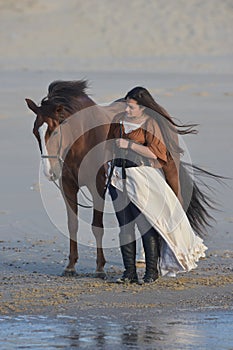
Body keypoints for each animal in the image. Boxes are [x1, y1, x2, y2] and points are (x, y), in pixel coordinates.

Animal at [25, 80, 124, 276]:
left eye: (55, 132)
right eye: (34, 132)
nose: (49, 171)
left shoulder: (98, 186)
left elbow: (97, 226)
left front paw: (100, 267)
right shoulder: (68, 186)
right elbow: (73, 225)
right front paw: (70, 265)